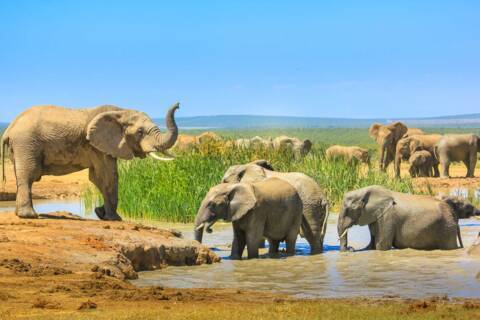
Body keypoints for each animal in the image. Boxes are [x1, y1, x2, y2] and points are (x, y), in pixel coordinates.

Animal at [0, 102, 180, 220]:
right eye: (140, 132)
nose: (178, 104)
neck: (120, 111)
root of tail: (9, 128)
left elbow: (97, 178)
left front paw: (100, 213)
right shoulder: (96, 146)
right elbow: (108, 176)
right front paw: (114, 218)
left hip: (21, 146)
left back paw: (20, 214)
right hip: (26, 143)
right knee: (29, 175)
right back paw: (29, 216)